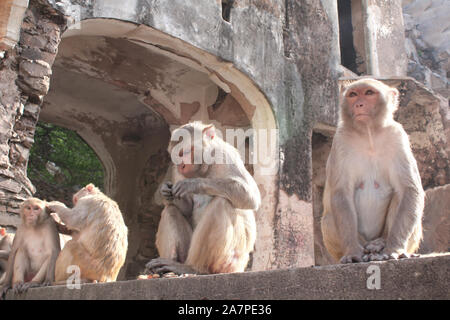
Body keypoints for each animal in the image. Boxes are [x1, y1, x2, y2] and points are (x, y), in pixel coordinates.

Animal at [146, 122, 260, 276]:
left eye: (183, 153)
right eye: (176, 157)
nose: (181, 166)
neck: (205, 169)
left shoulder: (224, 154)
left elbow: (250, 196)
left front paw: (193, 184)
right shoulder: (177, 172)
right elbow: (186, 209)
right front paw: (165, 191)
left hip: (230, 261)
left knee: (221, 203)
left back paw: (193, 268)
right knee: (170, 210)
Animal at [322, 79, 424, 264]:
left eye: (369, 93)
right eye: (353, 94)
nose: (358, 104)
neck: (369, 134)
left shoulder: (397, 136)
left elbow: (409, 189)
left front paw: (394, 249)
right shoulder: (341, 140)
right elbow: (341, 193)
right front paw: (353, 251)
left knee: (401, 196)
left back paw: (380, 244)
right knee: (328, 218)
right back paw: (366, 249)